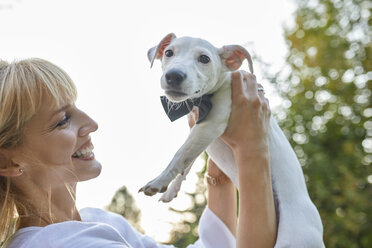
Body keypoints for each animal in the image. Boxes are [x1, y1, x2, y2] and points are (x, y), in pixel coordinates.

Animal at [141, 33, 324, 248]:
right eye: (168, 52)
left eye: (204, 58)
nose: (174, 76)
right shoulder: (198, 131)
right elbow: (186, 164)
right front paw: (170, 190)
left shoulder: (209, 126)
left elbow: (180, 155)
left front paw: (158, 181)